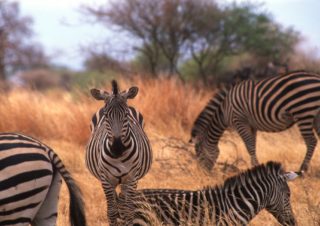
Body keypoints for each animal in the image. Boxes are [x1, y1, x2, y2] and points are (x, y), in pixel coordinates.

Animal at [85, 80, 153, 225]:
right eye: (106, 116)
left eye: (126, 115)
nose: (117, 149)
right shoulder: (106, 179)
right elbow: (111, 212)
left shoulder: (132, 178)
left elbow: (128, 211)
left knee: (122, 205)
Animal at [191, 70, 320, 171]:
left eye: (199, 152)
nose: (203, 174)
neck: (224, 109)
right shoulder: (251, 125)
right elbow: (253, 145)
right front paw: (254, 167)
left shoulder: (240, 121)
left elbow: (249, 146)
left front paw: (256, 167)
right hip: (315, 116)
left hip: (303, 112)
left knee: (311, 141)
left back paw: (302, 170)